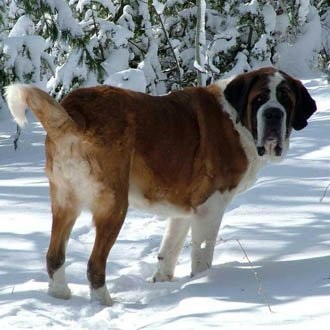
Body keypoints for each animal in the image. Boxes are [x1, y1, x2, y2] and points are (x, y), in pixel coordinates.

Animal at [4, 67, 314, 306]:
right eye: (260, 99)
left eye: (286, 100)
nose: (273, 114)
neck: (238, 121)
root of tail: (74, 111)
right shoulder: (210, 207)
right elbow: (201, 255)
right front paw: (204, 283)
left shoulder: (185, 211)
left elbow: (170, 249)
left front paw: (163, 282)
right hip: (114, 206)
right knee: (95, 264)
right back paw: (104, 302)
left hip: (64, 202)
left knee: (54, 256)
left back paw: (60, 295)